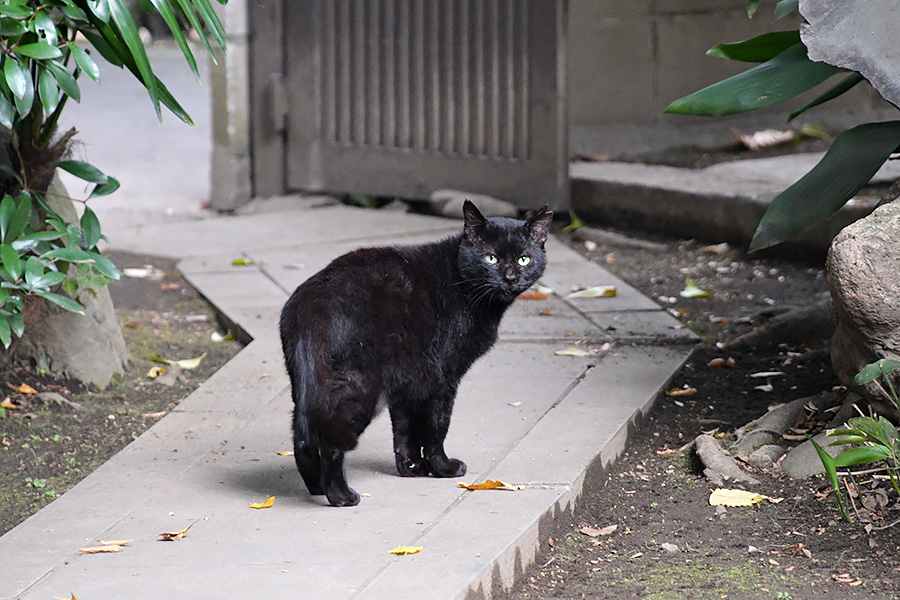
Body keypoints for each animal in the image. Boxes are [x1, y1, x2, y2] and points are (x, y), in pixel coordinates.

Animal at [278, 202, 552, 506]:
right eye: (491, 258)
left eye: (524, 259)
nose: (510, 278)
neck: (462, 283)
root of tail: (310, 306)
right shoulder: (444, 377)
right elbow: (436, 427)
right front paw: (443, 467)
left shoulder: (407, 378)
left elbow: (404, 429)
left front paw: (411, 468)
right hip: (357, 389)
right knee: (330, 441)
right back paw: (340, 495)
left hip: (306, 386)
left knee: (302, 436)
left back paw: (316, 485)